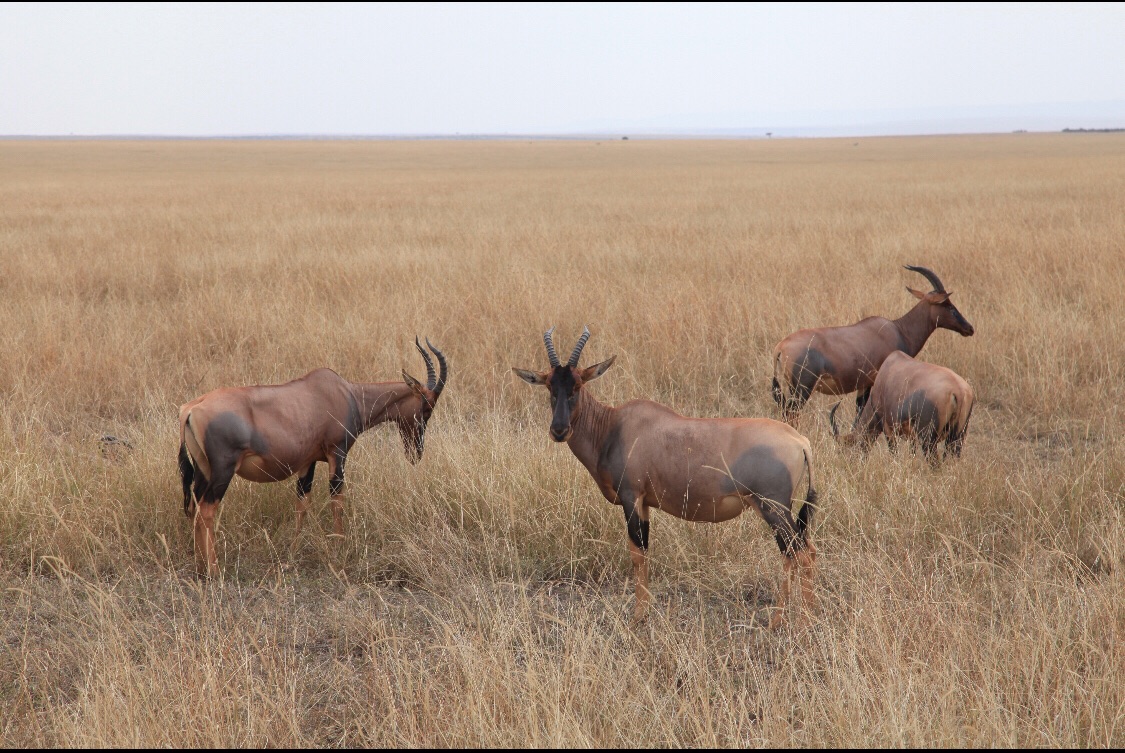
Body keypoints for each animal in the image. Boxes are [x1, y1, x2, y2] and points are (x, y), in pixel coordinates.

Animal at [175, 337, 447, 571]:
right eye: (427, 407)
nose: (416, 453)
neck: (344, 392)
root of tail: (191, 409)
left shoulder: (308, 462)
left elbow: (302, 504)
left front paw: (292, 554)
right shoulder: (337, 454)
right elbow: (337, 500)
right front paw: (340, 548)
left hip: (204, 471)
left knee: (195, 509)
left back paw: (200, 566)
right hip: (223, 471)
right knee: (206, 511)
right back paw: (214, 570)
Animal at [515, 326, 819, 625]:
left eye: (577, 385)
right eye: (550, 385)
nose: (559, 430)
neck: (613, 427)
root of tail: (800, 441)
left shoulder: (632, 498)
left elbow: (637, 554)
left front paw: (638, 617)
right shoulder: (645, 504)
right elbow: (645, 552)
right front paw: (645, 611)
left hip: (773, 507)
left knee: (799, 553)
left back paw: (799, 623)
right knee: (802, 551)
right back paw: (784, 619)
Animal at [769, 266, 972, 425]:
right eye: (948, 305)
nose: (969, 328)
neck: (898, 329)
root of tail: (781, 347)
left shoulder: (863, 384)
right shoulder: (872, 383)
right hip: (801, 390)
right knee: (791, 414)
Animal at [828, 351, 976, 461]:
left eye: (845, 450)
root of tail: (958, 390)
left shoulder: (887, 427)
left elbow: (894, 452)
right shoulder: (911, 436)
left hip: (928, 440)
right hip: (958, 437)